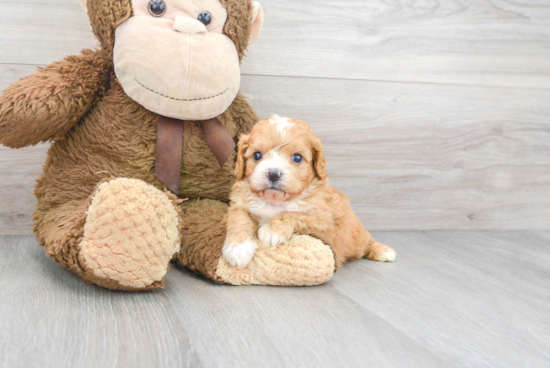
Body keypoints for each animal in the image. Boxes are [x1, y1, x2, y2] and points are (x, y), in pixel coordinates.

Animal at [222, 116, 398, 268]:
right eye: (257, 155)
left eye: (297, 158)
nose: (273, 174)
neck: (275, 200)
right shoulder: (239, 206)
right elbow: (239, 220)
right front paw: (237, 250)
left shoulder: (321, 219)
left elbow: (293, 213)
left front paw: (272, 231)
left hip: (356, 234)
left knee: (367, 241)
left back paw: (383, 251)